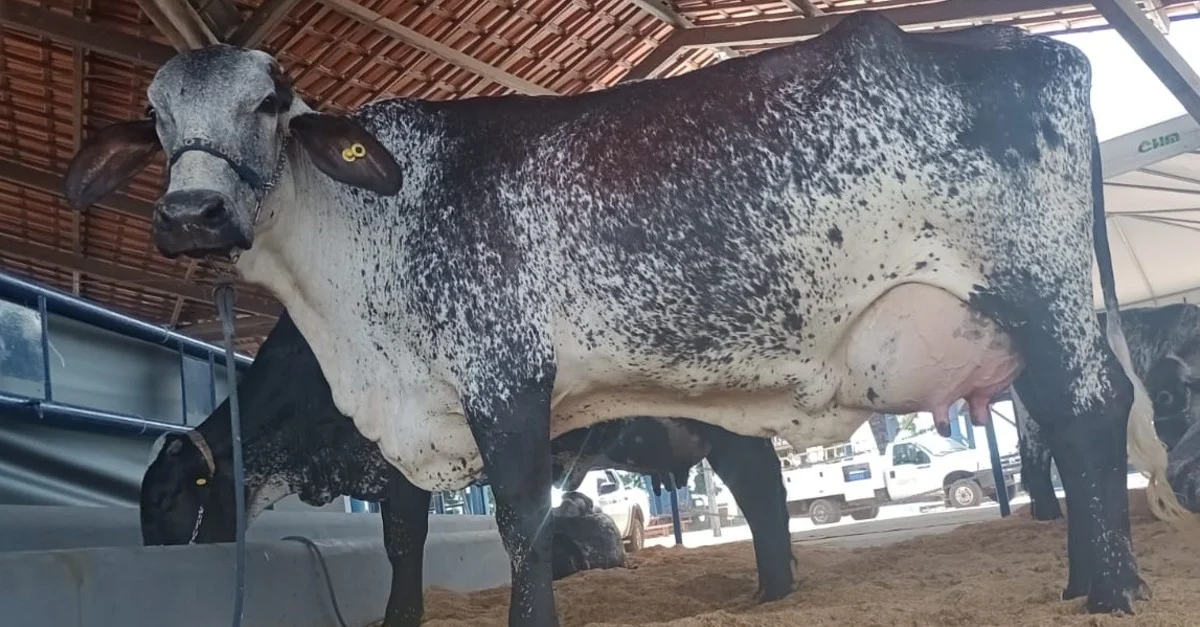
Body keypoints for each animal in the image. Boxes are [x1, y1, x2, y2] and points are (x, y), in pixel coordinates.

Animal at [140, 311, 793, 627]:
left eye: (164, 500)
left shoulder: (402, 468)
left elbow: (404, 543)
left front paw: (400, 618)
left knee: (761, 490)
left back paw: (773, 591)